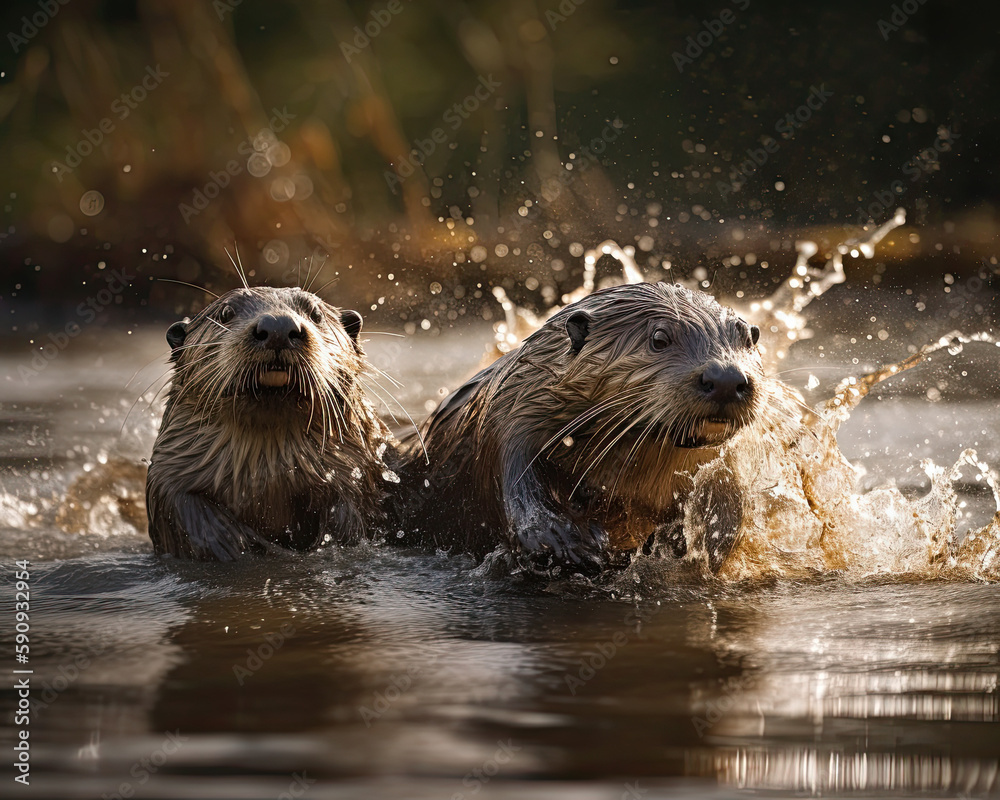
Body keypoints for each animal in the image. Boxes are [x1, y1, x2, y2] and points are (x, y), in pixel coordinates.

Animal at [392, 282, 772, 576]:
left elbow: (727, 504)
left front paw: (703, 536)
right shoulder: (507, 420)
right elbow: (518, 498)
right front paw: (564, 539)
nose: (725, 378)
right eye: (660, 338)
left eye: (747, 339)